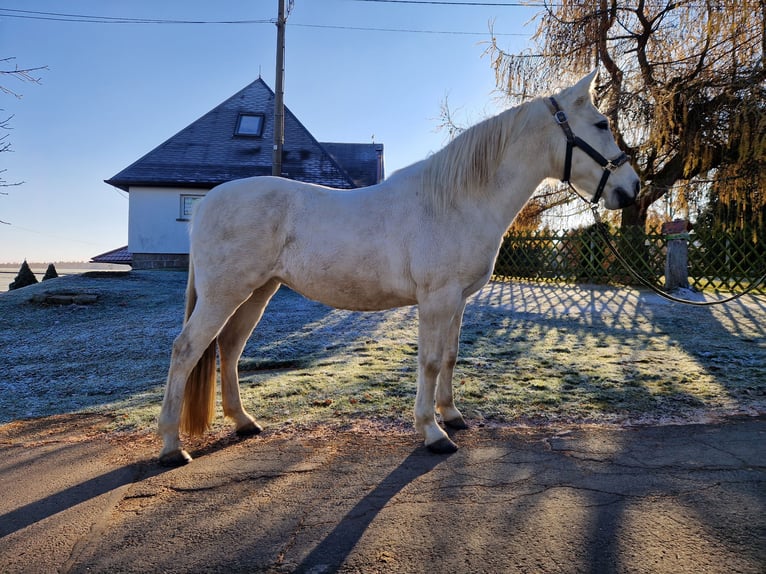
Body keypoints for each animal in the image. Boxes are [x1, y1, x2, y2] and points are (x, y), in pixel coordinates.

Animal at [158, 71, 640, 465]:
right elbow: (429, 361)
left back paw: (243, 422)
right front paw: (433, 432)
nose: (630, 188)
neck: (456, 201)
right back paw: (171, 446)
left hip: (257, 292)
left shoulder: (458, 301)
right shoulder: (436, 299)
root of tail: (206, 204)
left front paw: (452, 414)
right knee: (187, 349)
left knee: (228, 349)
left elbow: (450, 356)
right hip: (225, 294)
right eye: (601, 125)